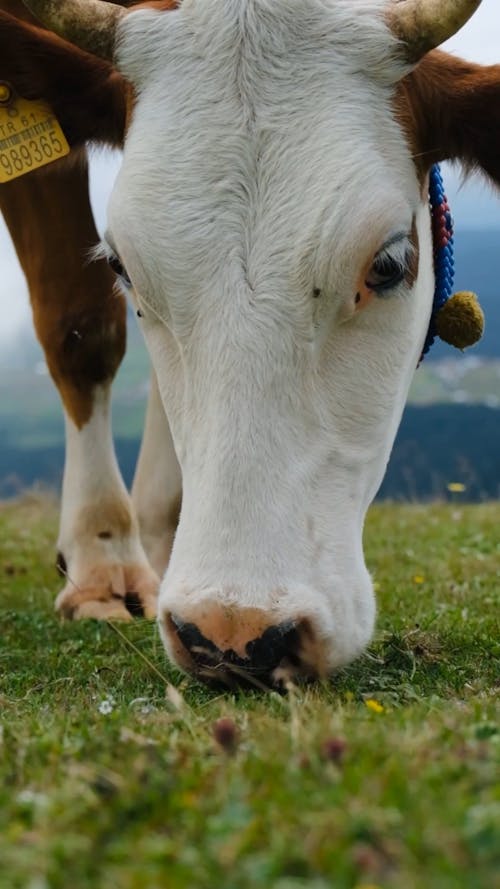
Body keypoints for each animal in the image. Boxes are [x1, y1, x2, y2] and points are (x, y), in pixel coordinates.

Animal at [0, 0, 498, 688]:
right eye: (123, 267)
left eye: (389, 264)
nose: (231, 634)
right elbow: (80, 323)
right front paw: (103, 560)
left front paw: (160, 530)